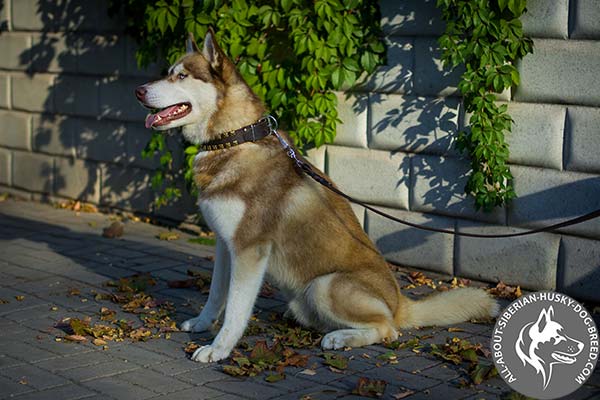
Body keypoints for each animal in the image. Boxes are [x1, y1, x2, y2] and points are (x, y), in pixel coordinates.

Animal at [135, 30, 496, 362]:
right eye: (169, 72)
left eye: (181, 76)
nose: (138, 90)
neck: (234, 138)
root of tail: (399, 303)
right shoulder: (226, 245)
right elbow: (215, 295)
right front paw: (201, 324)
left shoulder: (250, 250)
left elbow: (236, 310)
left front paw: (219, 348)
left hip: (325, 285)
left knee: (387, 329)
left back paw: (340, 338)